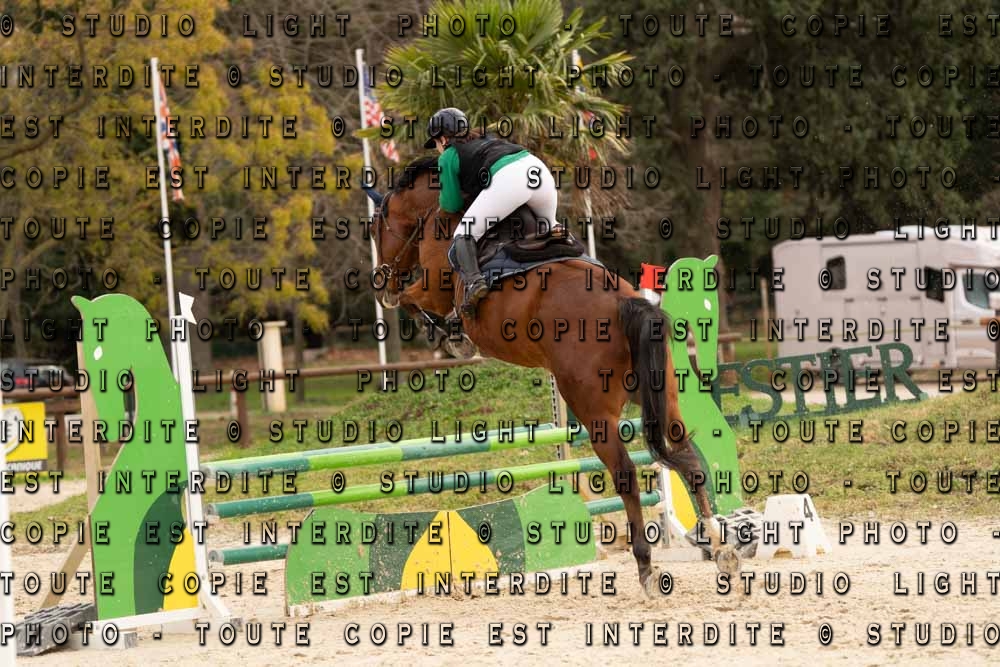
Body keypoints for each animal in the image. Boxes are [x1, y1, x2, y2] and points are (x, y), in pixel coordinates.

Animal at [363, 158, 740, 594]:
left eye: (376, 228)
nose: (380, 282)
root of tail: (624, 303)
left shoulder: (433, 287)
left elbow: (413, 301)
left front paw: (451, 336)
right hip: (665, 397)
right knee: (687, 456)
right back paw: (720, 549)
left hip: (594, 412)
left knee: (626, 475)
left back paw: (647, 567)